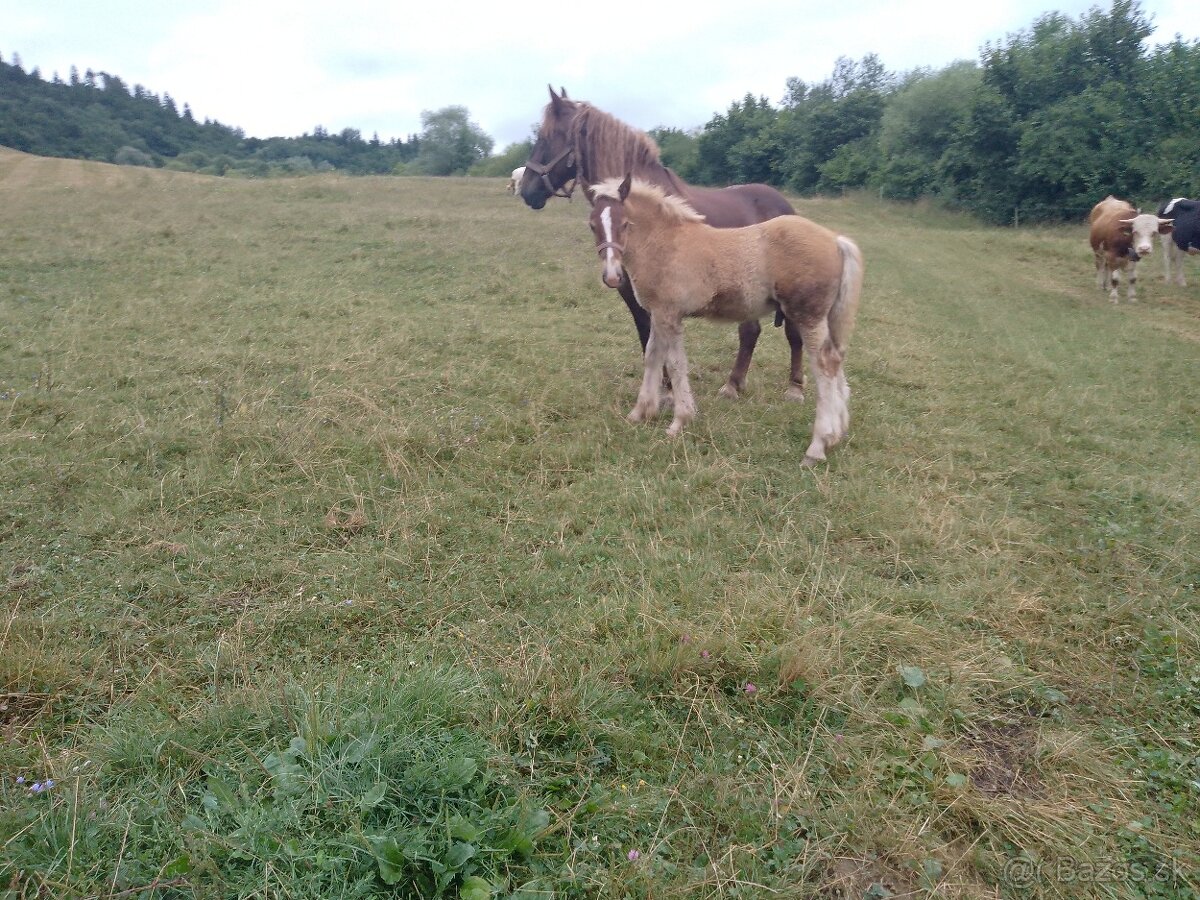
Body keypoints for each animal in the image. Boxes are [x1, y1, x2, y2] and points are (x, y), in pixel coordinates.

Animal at [518, 85, 806, 400]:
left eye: (545, 137)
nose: (526, 190)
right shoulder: (630, 290)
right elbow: (647, 335)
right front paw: (662, 389)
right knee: (751, 330)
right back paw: (733, 385)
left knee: (792, 332)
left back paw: (794, 388)